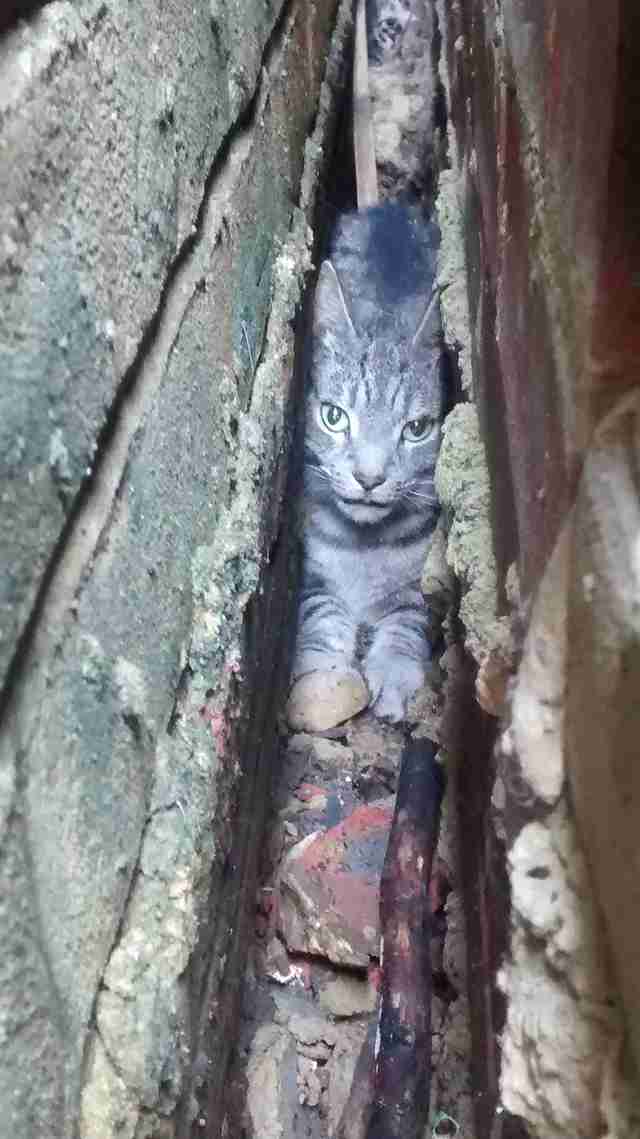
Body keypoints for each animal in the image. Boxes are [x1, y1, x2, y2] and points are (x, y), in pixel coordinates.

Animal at [289, 202, 444, 719]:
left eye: (416, 429)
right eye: (333, 416)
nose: (369, 477)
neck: (363, 547)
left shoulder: (423, 587)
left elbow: (409, 621)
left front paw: (393, 673)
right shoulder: (310, 574)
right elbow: (321, 613)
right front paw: (321, 670)